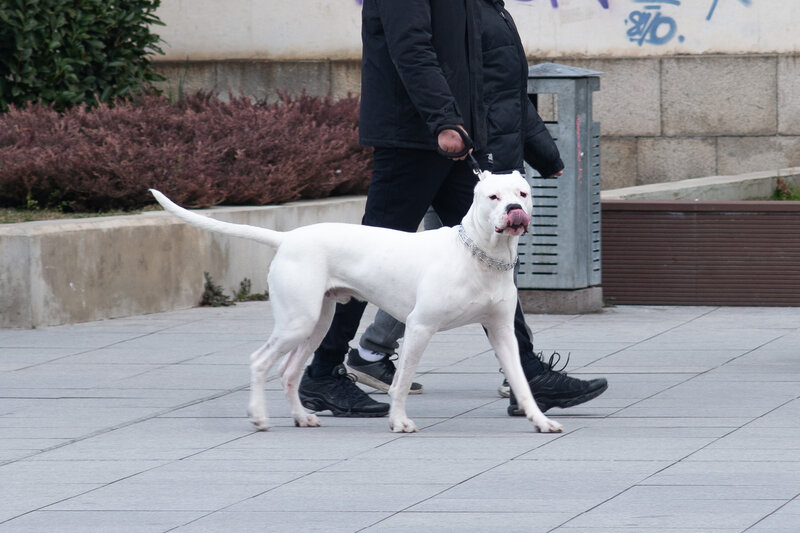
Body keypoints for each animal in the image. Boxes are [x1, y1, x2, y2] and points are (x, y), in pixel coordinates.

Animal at [150, 170, 563, 434]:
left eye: (523, 193)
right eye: (493, 197)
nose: (514, 212)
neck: (481, 254)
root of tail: (287, 237)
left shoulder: (502, 332)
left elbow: (522, 381)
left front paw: (540, 419)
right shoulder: (420, 327)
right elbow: (402, 381)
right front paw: (399, 421)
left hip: (317, 323)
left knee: (288, 371)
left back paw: (302, 417)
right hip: (297, 322)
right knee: (260, 361)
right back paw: (259, 417)